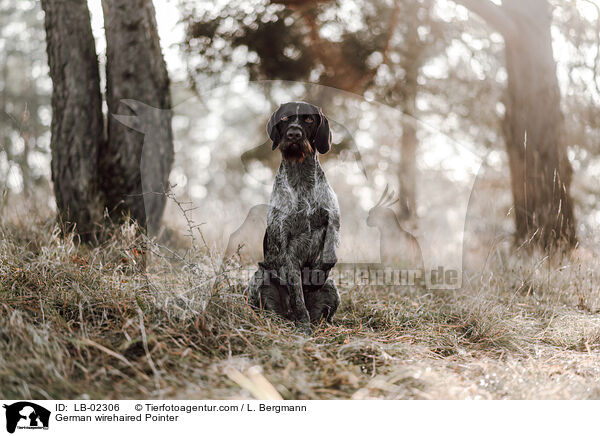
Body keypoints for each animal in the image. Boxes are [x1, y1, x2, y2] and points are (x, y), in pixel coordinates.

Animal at [248, 102, 340, 334]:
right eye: (284, 119)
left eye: (308, 119)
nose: (294, 134)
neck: (300, 176)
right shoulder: (285, 246)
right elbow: (297, 295)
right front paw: (303, 327)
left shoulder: (333, 223)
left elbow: (329, 259)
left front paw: (313, 279)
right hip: (260, 278)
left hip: (332, 288)